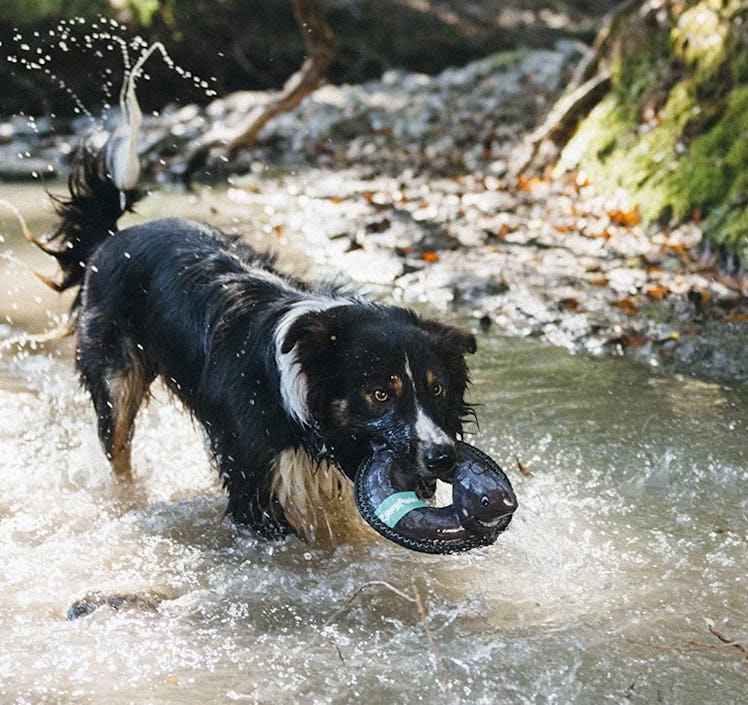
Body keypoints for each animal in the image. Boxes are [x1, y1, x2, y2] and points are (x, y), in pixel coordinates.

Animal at [42, 143, 474, 540]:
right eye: (381, 394)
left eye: (436, 389)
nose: (443, 456)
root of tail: (112, 238)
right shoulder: (256, 485)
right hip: (115, 378)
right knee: (118, 449)